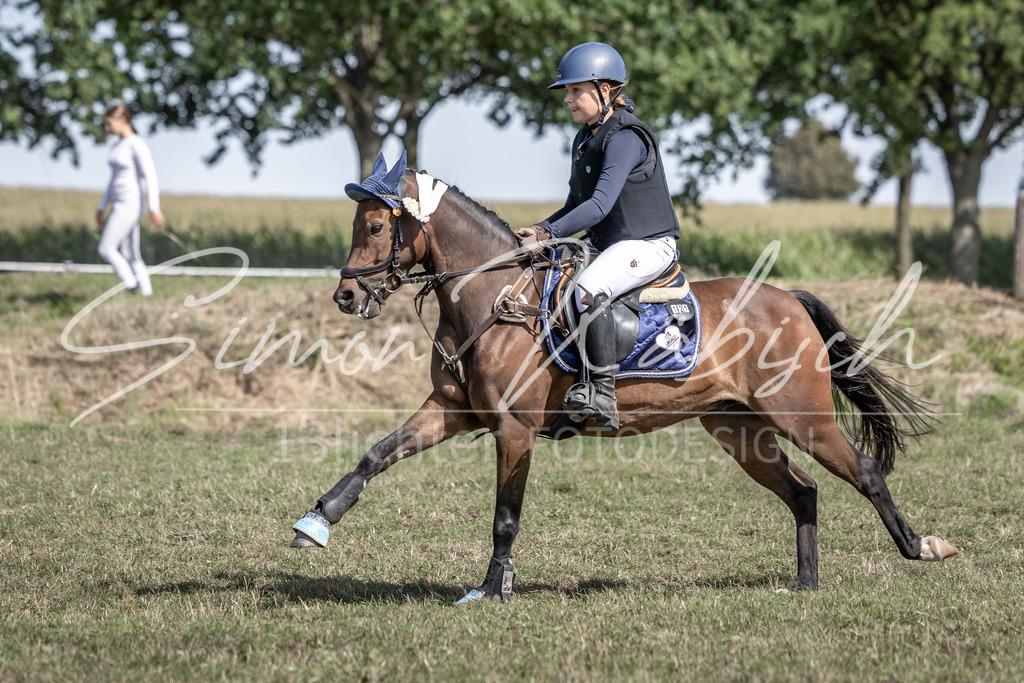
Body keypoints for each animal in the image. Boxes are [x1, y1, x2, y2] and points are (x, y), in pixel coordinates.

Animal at [289, 169, 957, 602]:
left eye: (378, 227)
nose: (345, 295)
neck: (492, 300)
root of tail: (788, 299)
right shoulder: (453, 412)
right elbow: (377, 453)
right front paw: (317, 521)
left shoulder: (513, 431)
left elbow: (505, 515)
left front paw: (492, 590)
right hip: (739, 431)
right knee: (803, 491)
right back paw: (804, 583)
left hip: (803, 418)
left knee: (864, 473)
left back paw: (922, 548)